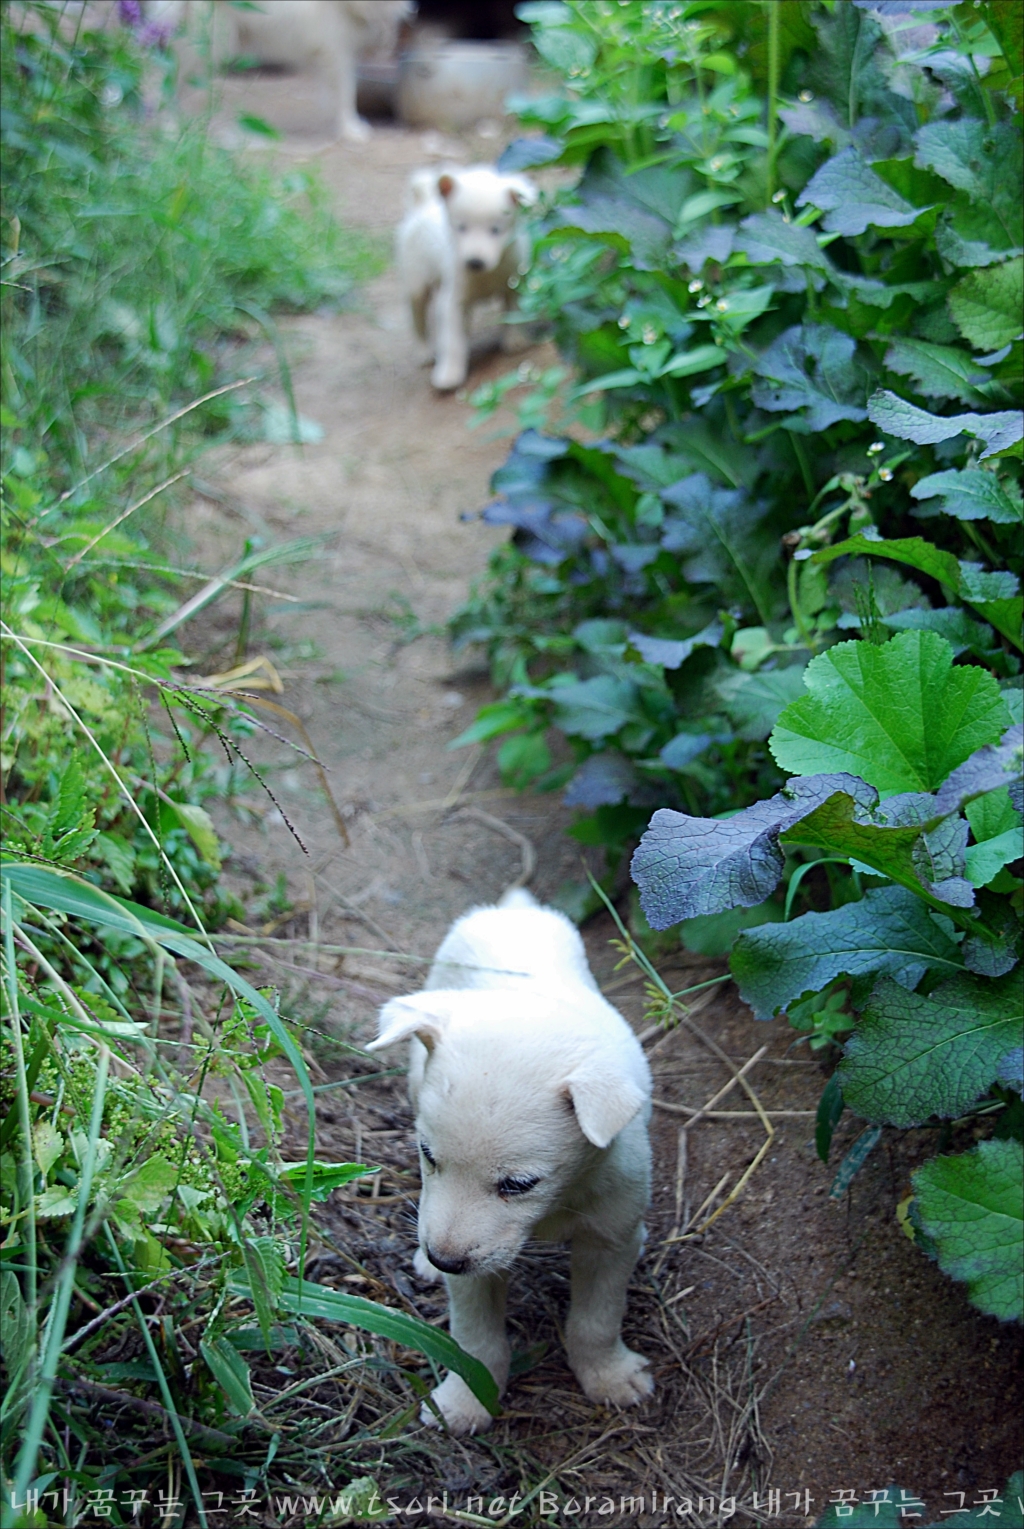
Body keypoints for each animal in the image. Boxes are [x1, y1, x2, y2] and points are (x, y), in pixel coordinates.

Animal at [148, 0, 412, 142]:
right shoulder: (337, 52)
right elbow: (346, 96)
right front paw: (351, 130)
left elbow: (337, 95)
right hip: (208, 47)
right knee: (165, 84)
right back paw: (169, 129)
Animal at [369, 886, 657, 1431]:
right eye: (427, 1155)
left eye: (519, 1184)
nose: (443, 1259)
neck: (556, 1206)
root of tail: (513, 910)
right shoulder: (474, 1264)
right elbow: (475, 1340)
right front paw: (466, 1400)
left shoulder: (611, 1236)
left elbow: (597, 1320)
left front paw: (608, 1377)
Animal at [394, 165, 537, 394]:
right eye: (460, 227)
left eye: (495, 229)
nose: (474, 262)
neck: (486, 274)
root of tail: (424, 203)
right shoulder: (453, 299)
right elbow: (452, 340)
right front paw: (449, 374)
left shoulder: (515, 283)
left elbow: (515, 312)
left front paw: (516, 340)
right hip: (415, 283)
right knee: (418, 318)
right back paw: (424, 351)